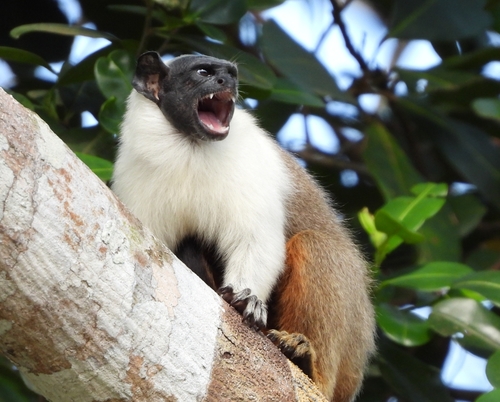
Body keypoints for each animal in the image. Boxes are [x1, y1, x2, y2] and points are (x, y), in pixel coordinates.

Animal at [112, 51, 376, 402]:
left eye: (229, 72)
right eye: (203, 72)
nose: (230, 79)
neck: (189, 146)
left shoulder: (249, 165)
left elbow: (255, 240)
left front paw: (247, 299)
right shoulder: (136, 180)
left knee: (315, 245)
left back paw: (306, 361)